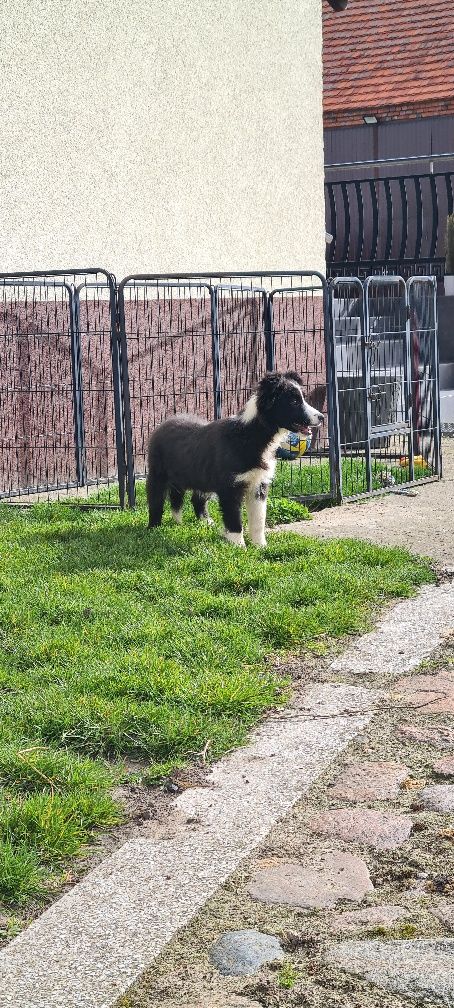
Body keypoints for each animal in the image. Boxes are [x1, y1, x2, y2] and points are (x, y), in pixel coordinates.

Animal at [147, 368, 324, 544]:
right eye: (294, 401)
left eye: (303, 398)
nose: (322, 417)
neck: (253, 435)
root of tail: (165, 422)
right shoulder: (230, 485)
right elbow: (234, 518)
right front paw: (239, 546)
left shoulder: (258, 483)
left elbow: (259, 519)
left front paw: (260, 546)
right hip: (158, 472)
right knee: (156, 500)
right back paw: (154, 528)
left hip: (200, 475)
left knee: (192, 498)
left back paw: (201, 522)